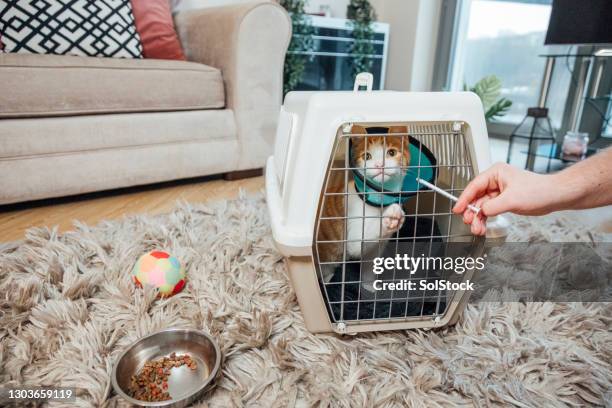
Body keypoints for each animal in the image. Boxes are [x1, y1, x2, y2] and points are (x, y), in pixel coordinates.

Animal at [316, 124, 412, 278]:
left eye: (391, 152)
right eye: (366, 156)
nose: (379, 165)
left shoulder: (376, 249)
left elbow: (370, 268)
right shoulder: (354, 236)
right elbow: (361, 239)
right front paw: (390, 216)